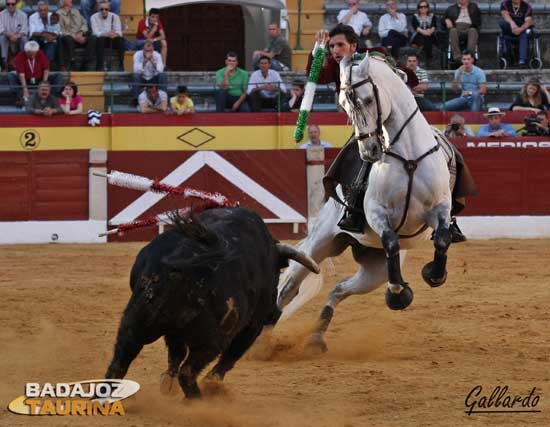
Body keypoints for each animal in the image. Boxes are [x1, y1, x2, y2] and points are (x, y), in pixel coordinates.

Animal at [105, 207, 320, 398]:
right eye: (276, 276)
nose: (274, 313)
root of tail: (179, 262)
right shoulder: (251, 325)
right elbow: (231, 355)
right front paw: (212, 384)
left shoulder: (174, 332)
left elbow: (175, 353)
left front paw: (167, 383)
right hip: (213, 338)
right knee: (188, 371)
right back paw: (198, 401)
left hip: (135, 321)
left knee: (120, 360)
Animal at [280, 52, 458, 352]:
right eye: (343, 104)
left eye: (367, 99)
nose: (369, 150)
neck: (408, 156)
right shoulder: (376, 212)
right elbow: (391, 240)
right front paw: (398, 294)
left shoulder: (439, 208)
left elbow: (443, 239)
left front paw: (434, 274)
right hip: (320, 245)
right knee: (288, 290)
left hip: (374, 271)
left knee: (339, 288)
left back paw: (317, 336)